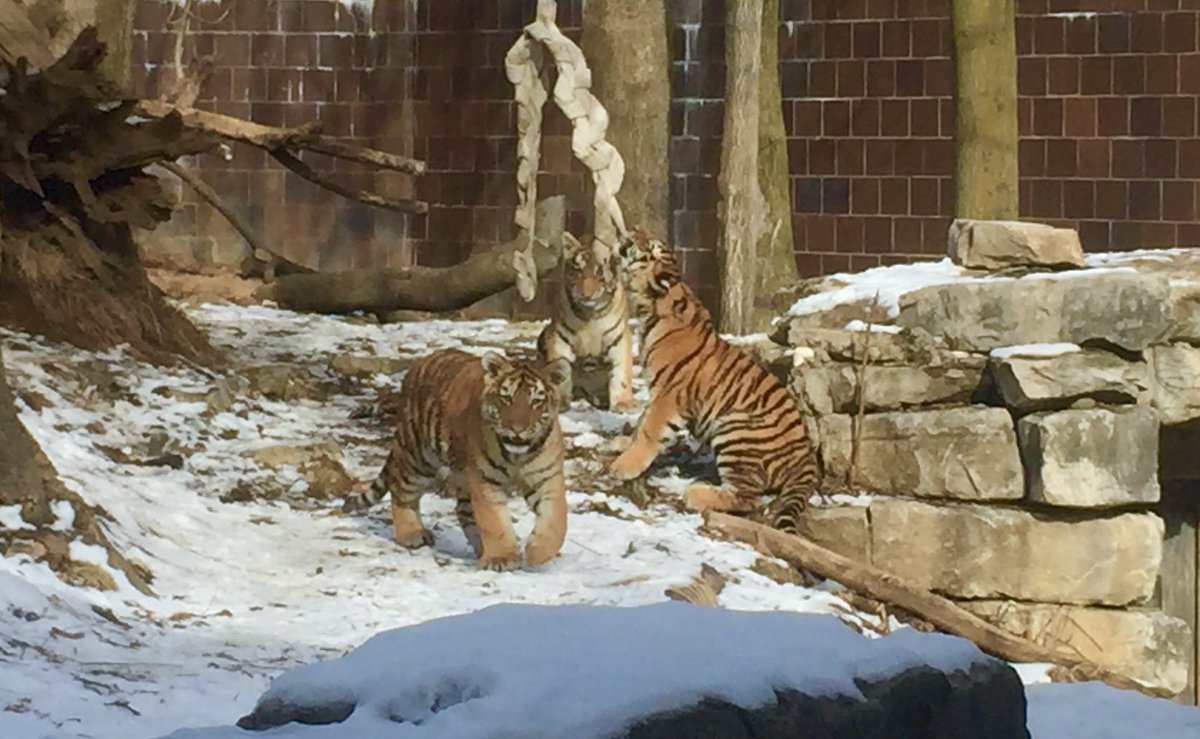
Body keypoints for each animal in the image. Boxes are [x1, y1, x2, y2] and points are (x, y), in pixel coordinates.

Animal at [342, 348, 572, 571]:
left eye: (536, 401)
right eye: (506, 398)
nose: (517, 429)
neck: (518, 455)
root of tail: (419, 363)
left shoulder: (547, 479)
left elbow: (556, 520)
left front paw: (538, 553)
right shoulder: (485, 481)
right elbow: (494, 521)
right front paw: (502, 558)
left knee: (463, 511)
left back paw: (480, 548)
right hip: (418, 458)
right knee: (401, 493)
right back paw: (412, 534)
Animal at [536, 232, 635, 411]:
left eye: (600, 274)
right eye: (578, 270)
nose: (586, 294)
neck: (591, 315)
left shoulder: (619, 338)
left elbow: (621, 372)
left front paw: (623, 403)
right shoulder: (559, 337)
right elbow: (560, 370)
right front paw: (559, 401)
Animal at [609, 235, 818, 533]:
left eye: (648, 248)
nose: (627, 237)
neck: (653, 307)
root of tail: (806, 460)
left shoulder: (669, 395)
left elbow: (649, 429)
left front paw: (624, 465)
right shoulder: (657, 392)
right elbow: (641, 422)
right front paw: (624, 443)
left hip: (734, 428)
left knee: (749, 497)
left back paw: (695, 492)